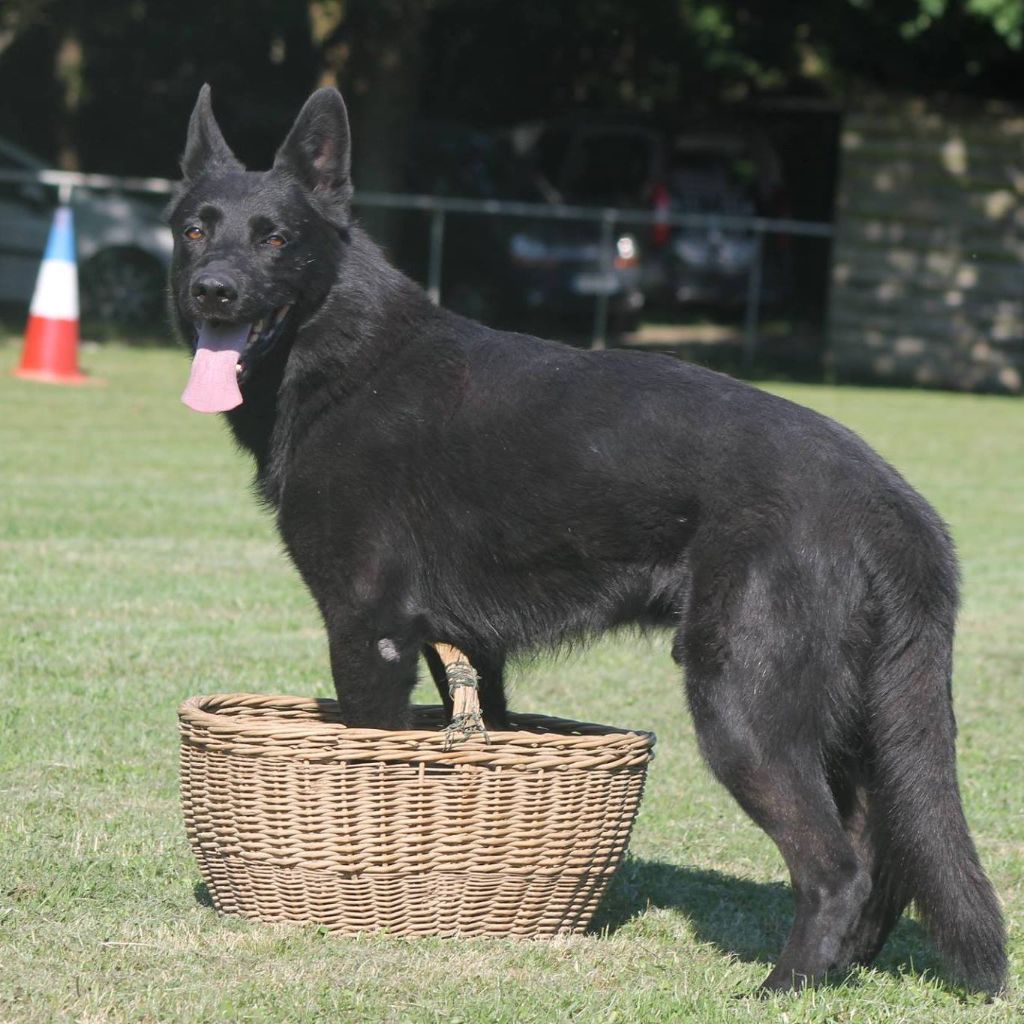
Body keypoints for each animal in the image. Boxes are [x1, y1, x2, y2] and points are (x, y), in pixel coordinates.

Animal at [169, 83, 1007, 995]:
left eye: (275, 238)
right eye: (196, 230)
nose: (213, 293)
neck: (345, 362)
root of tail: (886, 497)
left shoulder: (369, 634)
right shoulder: (464, 649)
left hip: (742, 708)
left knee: (837, 868)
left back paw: (784, 989)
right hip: (844, 724)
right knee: (881, 855)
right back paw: (839, 974)